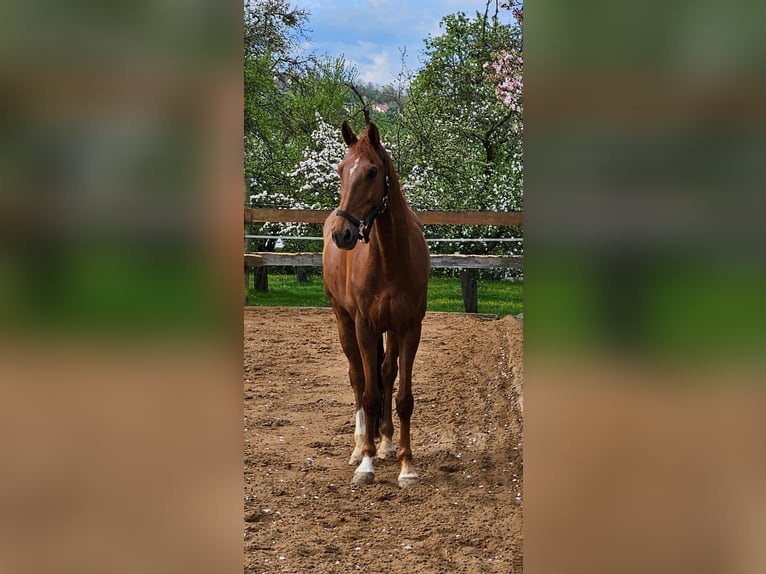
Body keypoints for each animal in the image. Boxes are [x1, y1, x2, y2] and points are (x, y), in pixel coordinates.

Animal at [322, 121, 430, 487]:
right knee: (358, 378)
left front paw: (406, 466)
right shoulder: (364, 328)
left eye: (372, 171)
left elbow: (402, 397)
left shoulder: (409, 328)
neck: (389, 258)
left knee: (386, 373)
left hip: (391, 333)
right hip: (343, 322)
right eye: (340, 169)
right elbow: (369, 395)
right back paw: (360, 447)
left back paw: (385, 443)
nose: (342, 234)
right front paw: (366, 465)